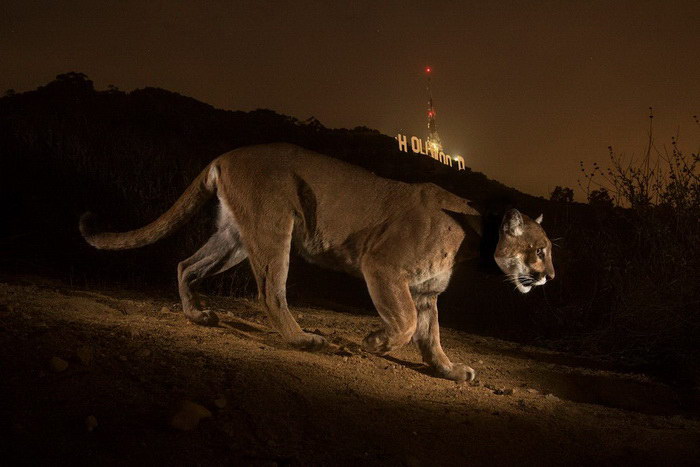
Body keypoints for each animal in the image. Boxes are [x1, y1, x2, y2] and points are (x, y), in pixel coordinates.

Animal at [80, 144, 552, 382]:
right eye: (541, 250)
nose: (550, 275)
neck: (475, 234)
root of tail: (226, 155)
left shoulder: (425, 292)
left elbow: (431, 338)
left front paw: (451, 370)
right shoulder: (382, 266)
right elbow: (404, 325)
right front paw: (373, 342)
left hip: (235, 237)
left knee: (186, 265)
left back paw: (198, 315)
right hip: (275, 228)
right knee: (270, 292)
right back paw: (305, 339)